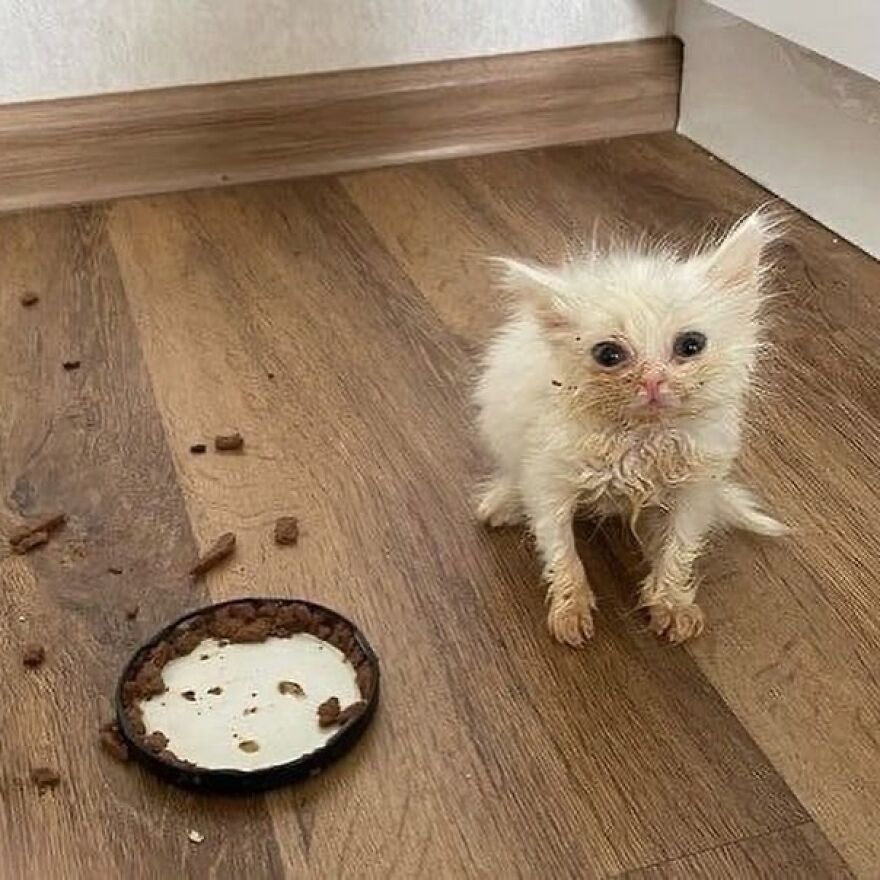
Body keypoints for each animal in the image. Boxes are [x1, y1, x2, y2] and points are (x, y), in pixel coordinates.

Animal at [474, 209, 784, 644]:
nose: (652, 381)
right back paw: (502, 503)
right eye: (608, 354)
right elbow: (561, 552)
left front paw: (671, 603)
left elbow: (679, 550)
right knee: (513, 476)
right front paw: (570, 612)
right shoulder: (548, 482)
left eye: (691, 345)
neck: (640, 439)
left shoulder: (695, 490)